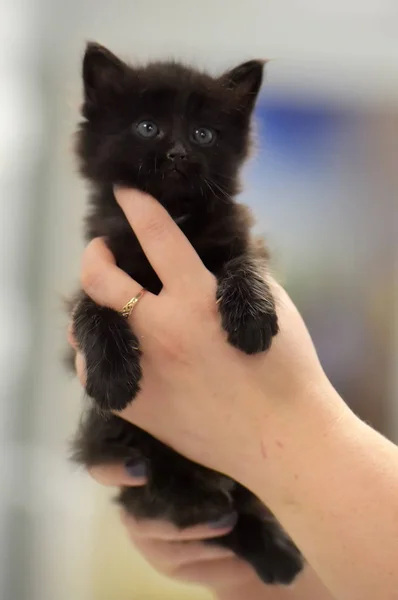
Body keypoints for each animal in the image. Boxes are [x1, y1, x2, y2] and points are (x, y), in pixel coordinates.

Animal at [70, 43, 304, 584]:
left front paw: (253, 317)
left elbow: (244, 262)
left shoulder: (239, 237)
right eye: (147, 127)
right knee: (205, 510)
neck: (174, 217)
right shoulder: (99, 262)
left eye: (203, 134)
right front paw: (112, 374)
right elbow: (93, 305)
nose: (178, 153)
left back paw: (276, 550)